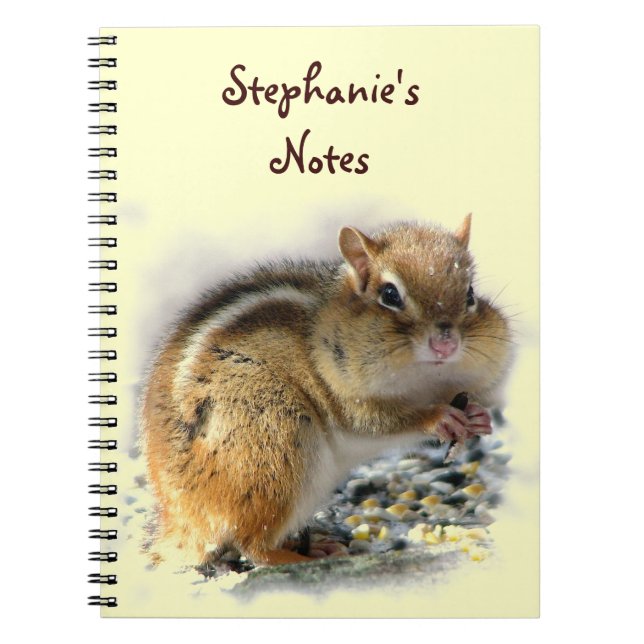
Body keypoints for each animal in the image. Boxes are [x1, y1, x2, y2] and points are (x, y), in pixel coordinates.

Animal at [141, 215, 513, 567]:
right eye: (390, 295)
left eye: (470, 294)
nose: (445, 344)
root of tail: (181, 521)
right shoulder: (344, 394)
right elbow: (376, 422)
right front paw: (439, 417)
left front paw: (478, 417)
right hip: (273, 439)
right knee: (252, 546)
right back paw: (297, 557)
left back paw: (314, 544)